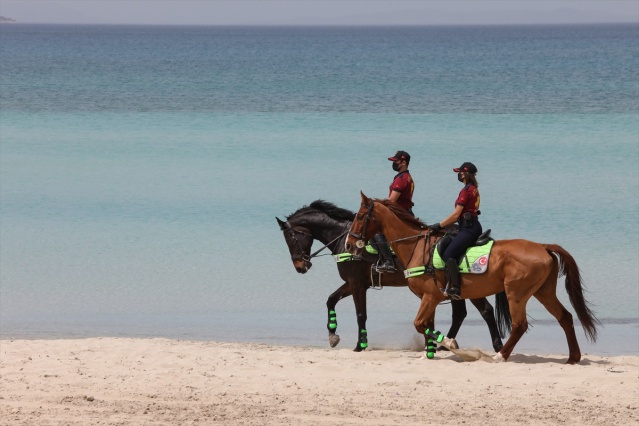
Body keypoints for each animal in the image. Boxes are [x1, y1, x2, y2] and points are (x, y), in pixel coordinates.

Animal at [276, 200, 510, 352]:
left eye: (291, 237)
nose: (300, 266)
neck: (344, 239)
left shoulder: (357, 284)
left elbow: (360, 314)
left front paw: (360, 345)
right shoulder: (353, 283)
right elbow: (330, 300)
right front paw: (333, 335)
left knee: (486, 311)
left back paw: (495, 345)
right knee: (460, 314)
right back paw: (445, 343)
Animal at [344, 193, 600, 362]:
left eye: (360, 216)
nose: (348, 243)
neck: (415, 246)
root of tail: (543, 247)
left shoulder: (431, 296)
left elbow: (420, 324)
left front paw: (449, 343)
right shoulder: (429, 298)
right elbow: (425, 325)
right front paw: (431, 351)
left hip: (516, 293)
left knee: (519, 325)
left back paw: (500, 355)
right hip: (543, 291)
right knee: (565, 317)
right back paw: (573, 357)